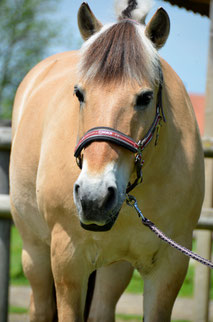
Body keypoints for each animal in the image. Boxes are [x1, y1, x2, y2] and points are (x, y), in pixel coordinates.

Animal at [9, 0, 205, 322]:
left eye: (145, 97)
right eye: (79, 93)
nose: (94, 198)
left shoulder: (170, 266)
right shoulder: (67, 261)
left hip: (114, 269)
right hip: (34, 252)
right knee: (40, 305)